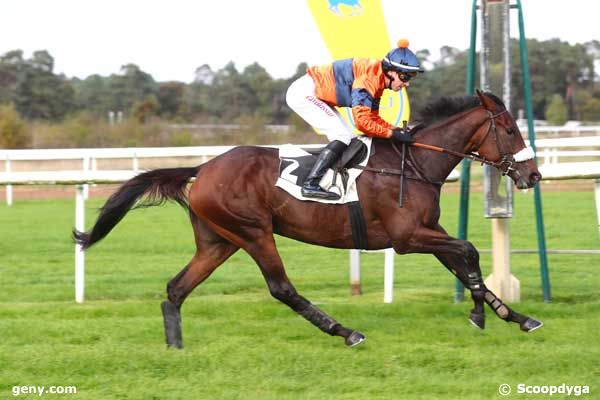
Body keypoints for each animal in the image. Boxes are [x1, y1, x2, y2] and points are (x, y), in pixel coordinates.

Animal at [74, 90, 544, 346]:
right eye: (509, 130)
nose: (533, 175)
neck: (413, 164)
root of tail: (204, 167)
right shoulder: (408, 236)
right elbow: (468, 252)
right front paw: (481, 314)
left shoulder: (430, 230)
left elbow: (463, 263)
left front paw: (514, 317)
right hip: (253, 233)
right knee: (281, 288)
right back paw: (345, 331)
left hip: (218, 240)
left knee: (176, 288)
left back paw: (175, 346)